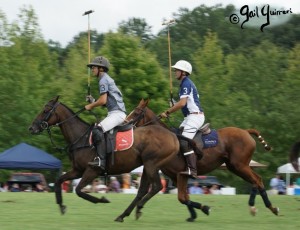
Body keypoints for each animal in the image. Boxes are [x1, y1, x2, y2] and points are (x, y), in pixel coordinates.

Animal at [28, 95, 206, 221]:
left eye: (46, 110)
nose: (32, 128)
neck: (81, 138)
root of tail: (174, 135)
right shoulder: (77, 170)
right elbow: (59, 181)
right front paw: (61, 206)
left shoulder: (92, 170)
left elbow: (79, 190)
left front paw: (102, 200)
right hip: (150, 166)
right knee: (145, 190)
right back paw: (124, 214)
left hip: (151, 164)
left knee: (156, 187)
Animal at [125, 98, 280, 216]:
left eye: (136, 112)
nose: (124, 124)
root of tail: (246, 131)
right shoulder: (176, 177)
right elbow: (184, 198)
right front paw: (196, 214)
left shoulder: (181, 174)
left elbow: (182, 197)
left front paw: (204, 209)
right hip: (235, 166)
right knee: (256, 180)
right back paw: (261, 207)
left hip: (240, 165)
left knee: (257, 180)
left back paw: (266, 208)